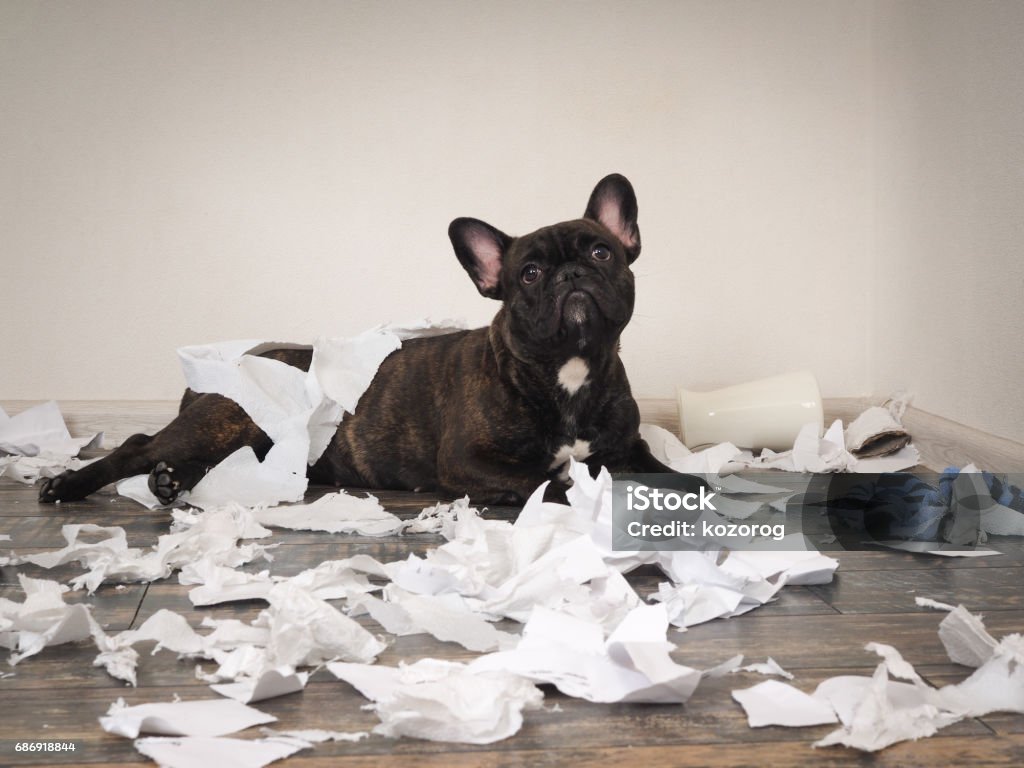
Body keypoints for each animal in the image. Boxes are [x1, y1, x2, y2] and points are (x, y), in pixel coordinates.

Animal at [41, 177, 679, 507]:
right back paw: (71, 484)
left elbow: (669, 473)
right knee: (136, 445)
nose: (571, 274)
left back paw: (170, 481)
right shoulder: (470, 462)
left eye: (601, 252)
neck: (568, 370)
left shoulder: (628, 449)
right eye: (529, 273)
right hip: (219, 423)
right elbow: (551, 481)